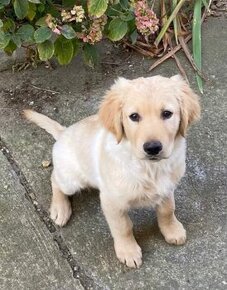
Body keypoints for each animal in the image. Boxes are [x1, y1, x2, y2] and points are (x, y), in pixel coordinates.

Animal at [23, 74, 200, 268]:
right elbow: (123, 227)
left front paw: (172, 230)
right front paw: (128, 251)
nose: (153, 148)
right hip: (72, 180)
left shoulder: (167, 188)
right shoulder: (112, 201)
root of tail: (64, 132)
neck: (149, 168)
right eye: (134, 116)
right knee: (55, 179)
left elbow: (167, 210)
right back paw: (59, 209)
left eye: (167, 113)